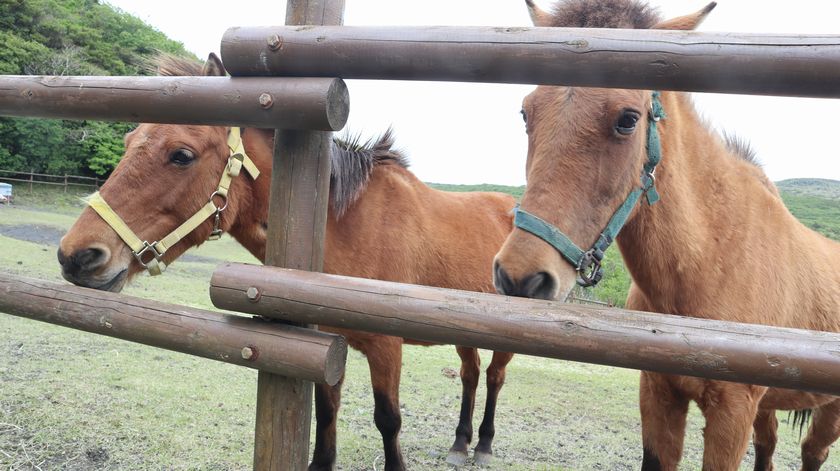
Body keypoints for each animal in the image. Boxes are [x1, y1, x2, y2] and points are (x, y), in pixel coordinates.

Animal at [55, 53, 516, 470]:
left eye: (181, 155)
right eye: (128, 142)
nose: (77, 255)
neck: (349, 226)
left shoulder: (387, 348)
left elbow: (388, 420)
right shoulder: (329, 344)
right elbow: (326, 411)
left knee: (494, 378)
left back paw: (483, 444)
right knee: (471, 373)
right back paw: (460, 443)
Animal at [496, 0, 840, 471]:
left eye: (628, 119)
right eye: (526, 112)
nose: (520, 277)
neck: (713, 259)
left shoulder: (733, 411)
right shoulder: (658, 393)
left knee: (812, 452)